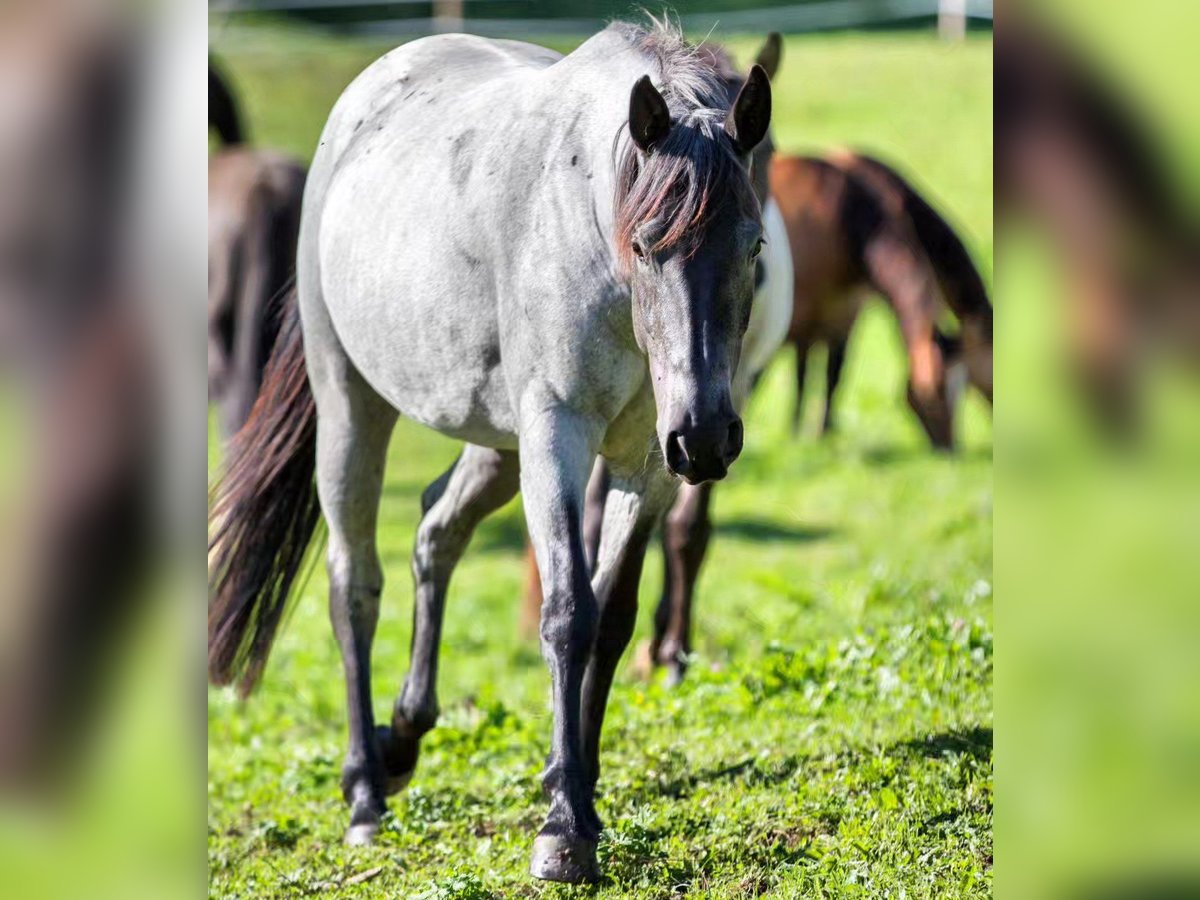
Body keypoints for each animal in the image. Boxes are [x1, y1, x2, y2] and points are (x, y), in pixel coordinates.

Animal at [775, 151, 993, 450]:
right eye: (932, 394)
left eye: (963, 384)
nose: (948, 450)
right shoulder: (815, 314)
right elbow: (809, 375)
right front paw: (801, 434)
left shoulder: (842, 311)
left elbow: (830, 375)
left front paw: (821, 433)